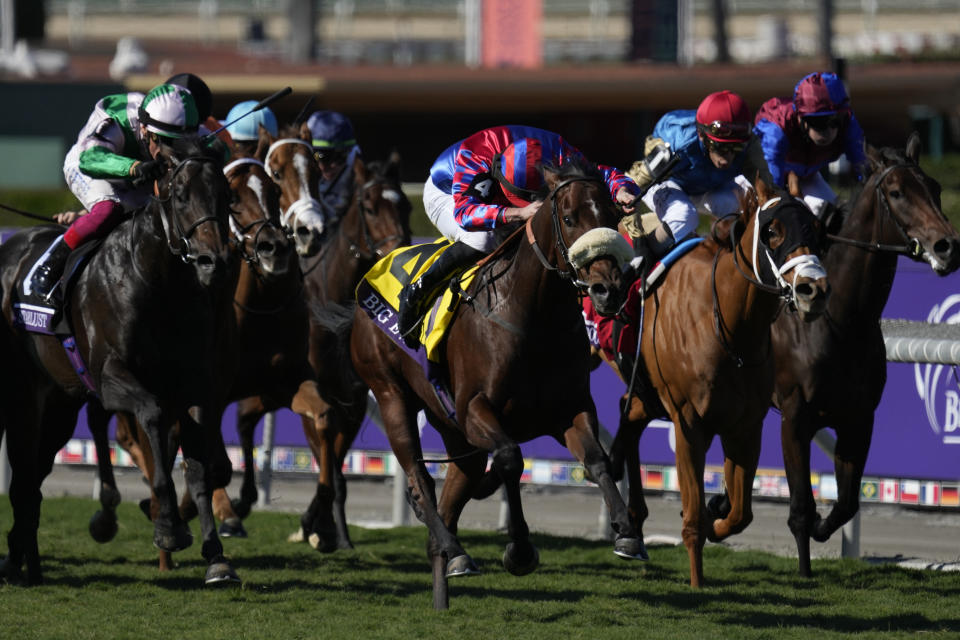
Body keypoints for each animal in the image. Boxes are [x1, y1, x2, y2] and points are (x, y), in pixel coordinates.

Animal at [0, 139, 239, 584]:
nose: (214, 261)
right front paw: (167, 528)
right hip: (22, 397)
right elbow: (154, 417)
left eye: (226, 195)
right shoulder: (111, 379)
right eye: (181, 196)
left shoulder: (197, 383)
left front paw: (216, 557)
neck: (158, 281)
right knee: (22, 474)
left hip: (59, 404)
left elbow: (200, 467)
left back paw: (25, 560)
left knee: (33, 478)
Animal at [232, 150, 412, 552]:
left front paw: (329, 529)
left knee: (246, 417)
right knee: (244, 420)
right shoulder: (316, 393)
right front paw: (320, 527)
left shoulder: (354, 400)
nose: (399, 255)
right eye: (369, 207)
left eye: (406, 205)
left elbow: (336, 465)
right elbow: (330, 464)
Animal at [344, 158, 644, 608]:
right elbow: (509, 459)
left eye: (612, 216)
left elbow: (598, 460)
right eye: (569, 218)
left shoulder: (569, 409)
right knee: (419, 479)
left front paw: (626, 530)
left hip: (452, 428)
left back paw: (447, 566)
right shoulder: (475, 410)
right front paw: (519, 550)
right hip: (391, 394)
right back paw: (455, 548)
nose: (607, 290)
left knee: (453, 489)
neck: (536, 320)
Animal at [608, 179, 832, 584]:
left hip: (645, 392)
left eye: (815, 230)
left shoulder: (745, 424)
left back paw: (631, 521)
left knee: (629, 413)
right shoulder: (688, 422)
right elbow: (693, 518)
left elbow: (741, 513)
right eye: (773, 232)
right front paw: (697, 582)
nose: (814, 289)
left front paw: (717, 519)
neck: (727, 323)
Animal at [768, 132, 960, 576]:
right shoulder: (794, 416)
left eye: (935, 187)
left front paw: (823, 526)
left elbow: (846, 503)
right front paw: (804, 570)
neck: (839, 319)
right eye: (896, 192)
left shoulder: (858, 419)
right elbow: (800, 506)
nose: (947, 247)